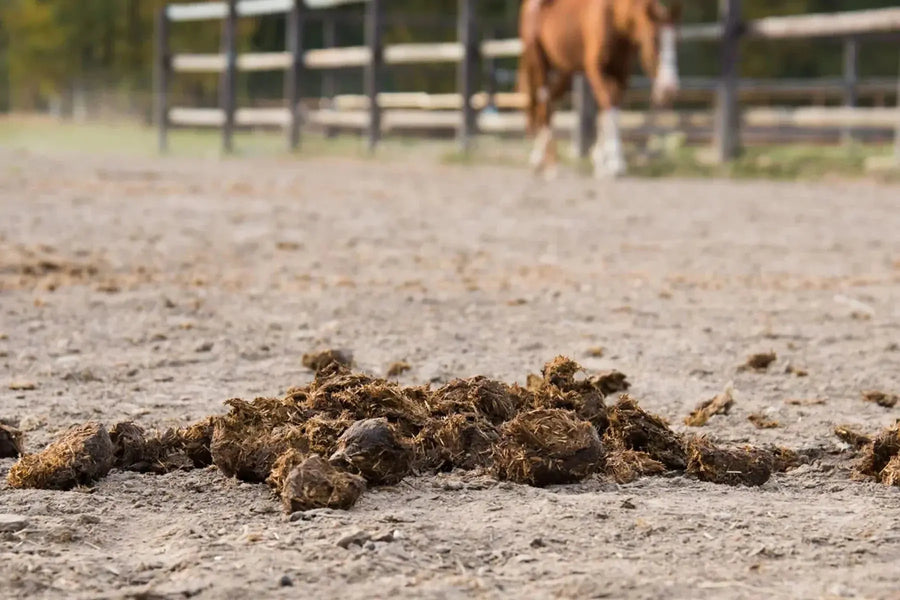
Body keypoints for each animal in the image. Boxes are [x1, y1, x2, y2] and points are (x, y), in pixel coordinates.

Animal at [518, 0, 683, 178]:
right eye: (654, 39)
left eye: (676, 41)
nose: (669, 89)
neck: (615, 19)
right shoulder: (595, 70)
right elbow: (608, 107)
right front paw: (615, 164)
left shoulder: (621, 75)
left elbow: (610, 111)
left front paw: (601, 161)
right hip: (538, 62)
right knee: (544, 104)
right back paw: (551, 164)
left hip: (565, 72)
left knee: (548, 104)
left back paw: (538, 158)